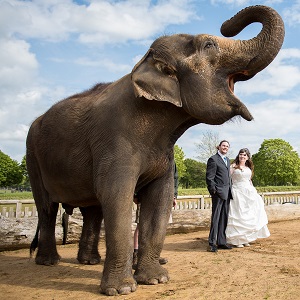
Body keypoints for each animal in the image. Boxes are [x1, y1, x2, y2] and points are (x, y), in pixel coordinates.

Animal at [25, 5, 284, 298]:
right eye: (209, 45)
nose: (227, 24)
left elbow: (160, 199)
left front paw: (156, 279)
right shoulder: (115, 140)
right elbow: (117, 197)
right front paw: (122, 289)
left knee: (92, 210)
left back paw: (89, 261)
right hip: (32, 156)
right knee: (47, 207)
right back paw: (50, 262)